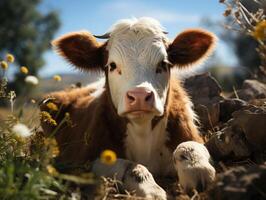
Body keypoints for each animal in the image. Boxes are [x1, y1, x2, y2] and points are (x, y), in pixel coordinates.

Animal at [41, 17, 216, 198]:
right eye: (112, 65)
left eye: (163, 64)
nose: (139, 96)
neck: (142, 135)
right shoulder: (82, 161)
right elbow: (130, 166)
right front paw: (152, 190)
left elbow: (190, 146)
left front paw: (198, 171)